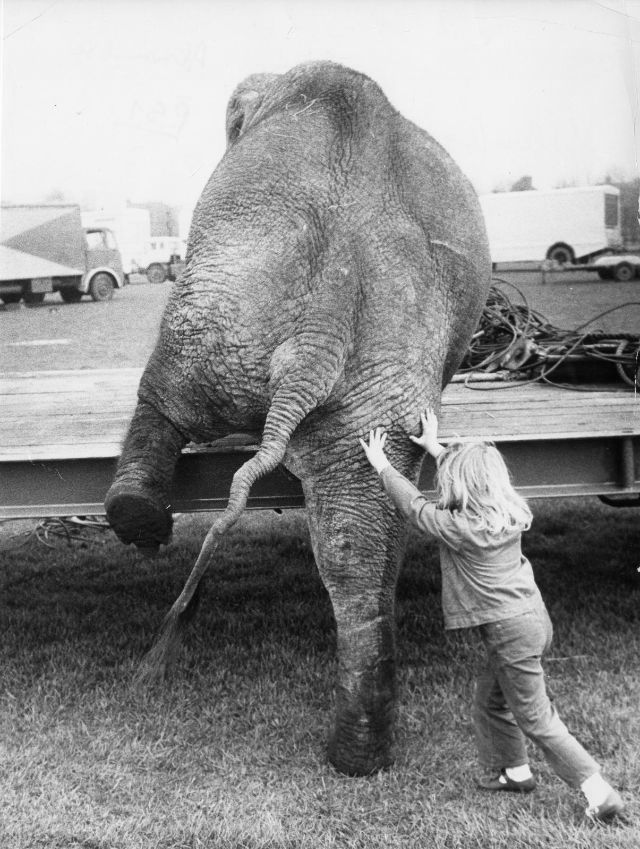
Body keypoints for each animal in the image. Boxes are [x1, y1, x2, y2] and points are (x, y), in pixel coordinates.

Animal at [105, 61, 491, 776]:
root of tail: (323, 317)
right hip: (371, 376)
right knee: (357, 535)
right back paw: (358, 752)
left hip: (213, 307)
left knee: (164, 397)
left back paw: (137, 517)